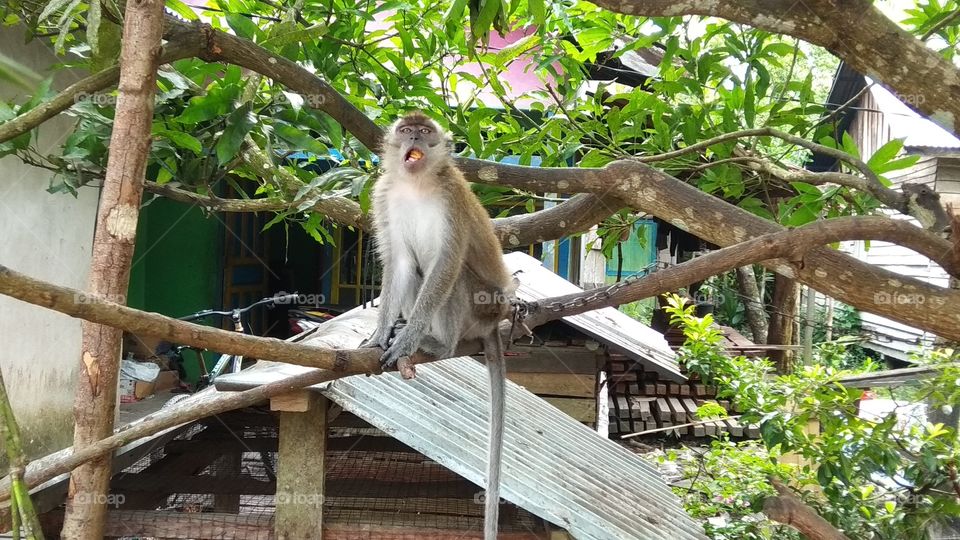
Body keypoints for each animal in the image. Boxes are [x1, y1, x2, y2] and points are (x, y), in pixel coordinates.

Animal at [362, 111, 515, 540]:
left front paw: (405, 339)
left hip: (483, 306)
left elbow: (444, 266)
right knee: (414, 267)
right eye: (405, 130)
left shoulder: (452, 198)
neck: (416, 185)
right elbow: (399, 263)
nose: (414, 137)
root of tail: (495, 320)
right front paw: (380, 335)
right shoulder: (384, 195)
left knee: (455, 271)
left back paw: (437, 344)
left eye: (425, 131)